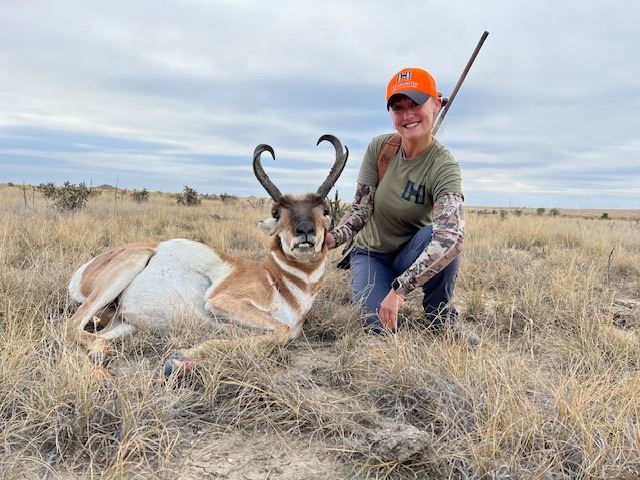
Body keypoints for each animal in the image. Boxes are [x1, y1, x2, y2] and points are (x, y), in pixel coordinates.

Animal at [66, 135, 348, 376]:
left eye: (324, 210)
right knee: (70, 326)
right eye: (277, 212)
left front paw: (182, 360)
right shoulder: (221, 301)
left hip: (125, 323)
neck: (278, 281)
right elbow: (281, 330)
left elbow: (274, 334)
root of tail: (84, 270)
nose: (305, 231)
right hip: (130, 265)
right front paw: (180, 358)